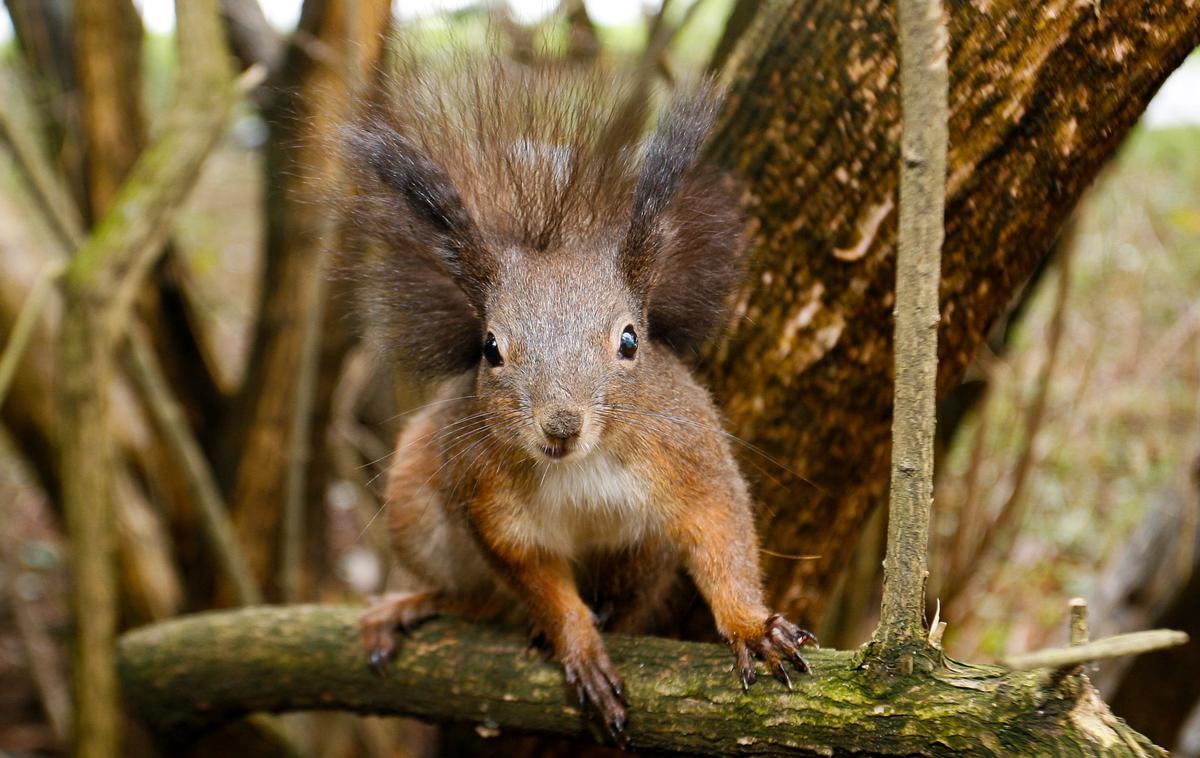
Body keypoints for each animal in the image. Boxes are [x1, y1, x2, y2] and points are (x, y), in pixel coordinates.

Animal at [343, 54, 820, 738]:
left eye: (630, 339)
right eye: (490, 347)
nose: (560, 426)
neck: (582, 464)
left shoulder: (687, 451)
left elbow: (721, 533)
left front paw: (752, 625)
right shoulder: (488, 498)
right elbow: (535, 577)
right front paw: (578, 645)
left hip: (642, 557)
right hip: (416, 503)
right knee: (477, 598)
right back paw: (416, 603)